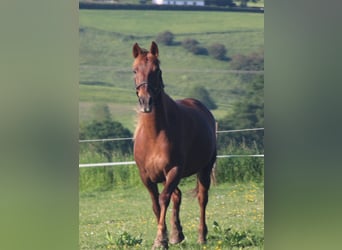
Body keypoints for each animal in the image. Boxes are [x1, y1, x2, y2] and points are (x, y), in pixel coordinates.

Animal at [132, 42, 215, 249]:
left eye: (157, 70)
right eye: (134, 70)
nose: (146, 102)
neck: (154, 135)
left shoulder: (174, 170)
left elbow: (163, 200)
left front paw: (160, 239)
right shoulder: (146, 176)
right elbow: (156, 204)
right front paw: (168, 237)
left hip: (204, 168)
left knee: (202, 198)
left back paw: (202, 236)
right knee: (177, 196)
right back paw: (177, 234)